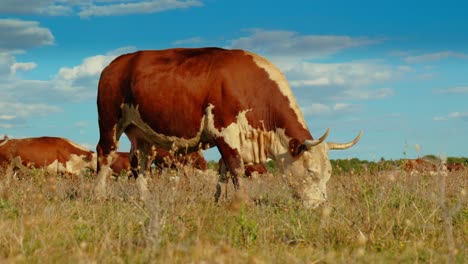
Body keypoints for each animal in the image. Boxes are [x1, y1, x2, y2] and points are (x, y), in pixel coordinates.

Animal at [93, 48, 360, 208]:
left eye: (328, 173)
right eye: (312, 171)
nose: (321, 207)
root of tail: (114, 64)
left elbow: (223, 171)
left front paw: (218, 200)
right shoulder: (225, 131)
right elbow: (236, 168)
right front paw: (243, 202)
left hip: (141, 133)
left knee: (139, 163)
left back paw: (145, 198)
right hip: (110, 122)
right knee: (105, 153)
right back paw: (99, 195)